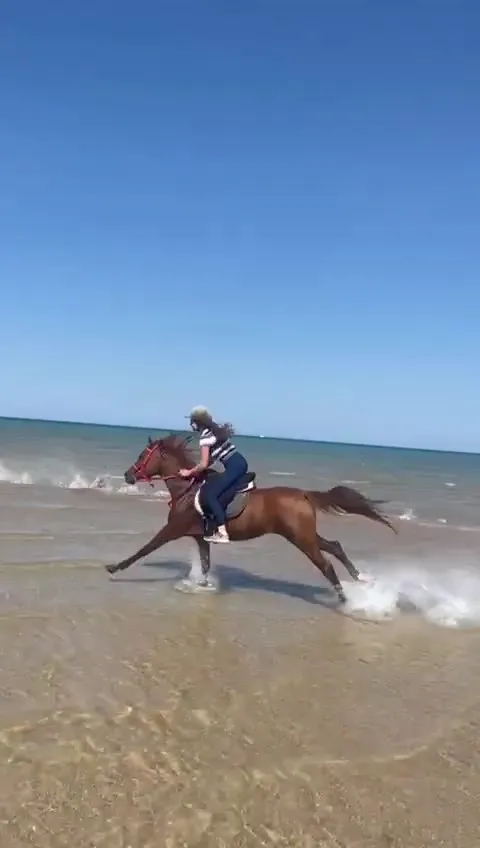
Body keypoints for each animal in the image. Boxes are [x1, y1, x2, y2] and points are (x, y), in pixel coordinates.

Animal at [105, 434, 396, 603]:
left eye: (142, 456)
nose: (128, 475)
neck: (187, 488)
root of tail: (303, 494)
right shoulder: (201, 537)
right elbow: (205, 563)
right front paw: (203, 585)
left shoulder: (172, 529)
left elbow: (145, 549)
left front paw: (114, 568)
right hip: (304, 534)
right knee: (334, 546)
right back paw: (359, 579)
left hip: (300, 538)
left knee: (325, 564)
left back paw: (347, 600)